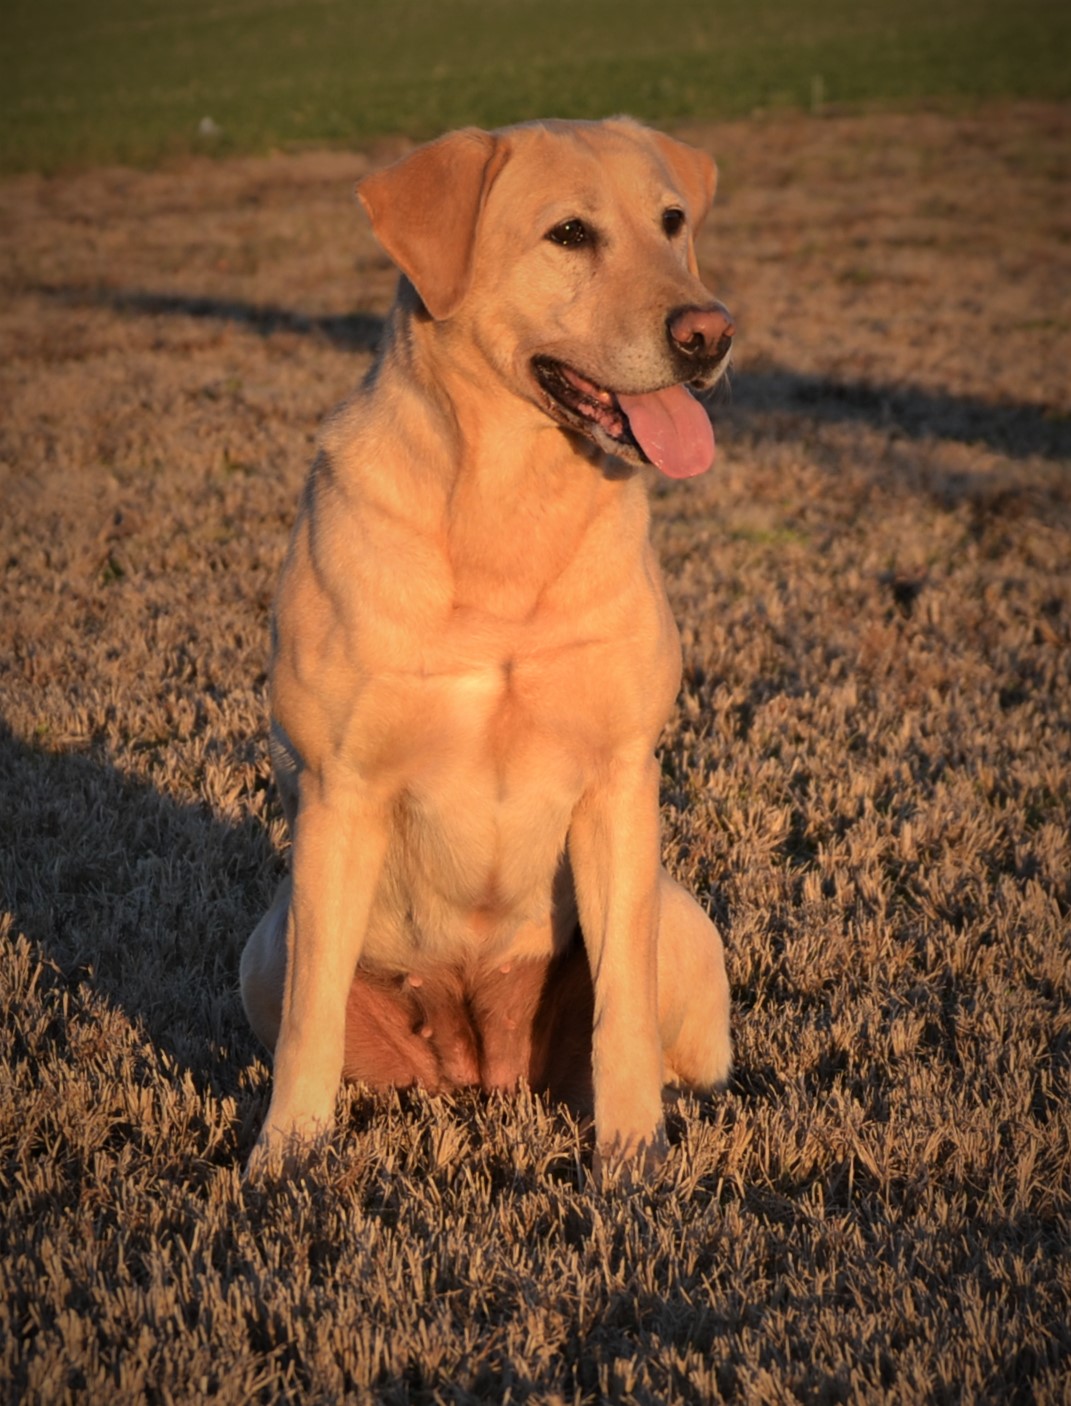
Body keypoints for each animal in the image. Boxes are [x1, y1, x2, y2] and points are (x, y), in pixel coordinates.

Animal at [237, 118, 730, 1175]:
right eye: (569, 234)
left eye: (672, 222)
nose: (709, 334)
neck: (506, 507)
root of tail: (479, 1058)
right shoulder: (341, 792)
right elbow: (309, 1024)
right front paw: (284, 1158)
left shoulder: (619, 778)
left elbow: (622, 1016)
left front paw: (632, 1157)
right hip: (264, 944)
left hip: (677, 917)